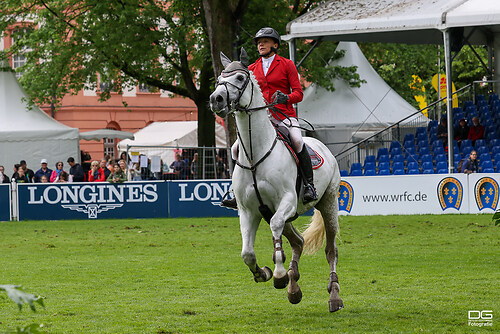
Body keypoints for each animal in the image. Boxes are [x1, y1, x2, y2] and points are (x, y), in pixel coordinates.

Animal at [210, 49, 344, 314]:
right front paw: (264, 273)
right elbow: (247, 253)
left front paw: (280, 274)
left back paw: (333, 296)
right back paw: (294, 289)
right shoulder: (249, 211)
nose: (215, 99)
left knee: (330, 250)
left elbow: (275, 234)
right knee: (298, 242)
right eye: (219, 78)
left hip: (327, 204)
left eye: (240, 77)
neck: (255, 154)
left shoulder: (287, 201)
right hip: (281, 213)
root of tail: (322, 145)